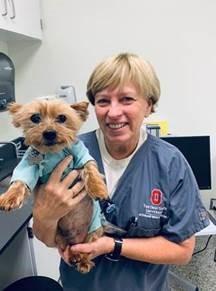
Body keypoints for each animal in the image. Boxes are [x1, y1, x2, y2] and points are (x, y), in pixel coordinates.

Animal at [0, 100, 107, 274]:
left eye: (62, 118)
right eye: (35, 118)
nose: (49, 133)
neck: (53, 153)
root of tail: (76, 239)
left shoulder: (80, 153)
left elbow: (89, 167)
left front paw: (97, 189)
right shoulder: (29, 163)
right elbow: (20, 181)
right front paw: (9, 197)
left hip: (95, 230)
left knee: (86, 249)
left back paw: (83, 262)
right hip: (58, 234)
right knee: (67, 247)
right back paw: (74, 256)